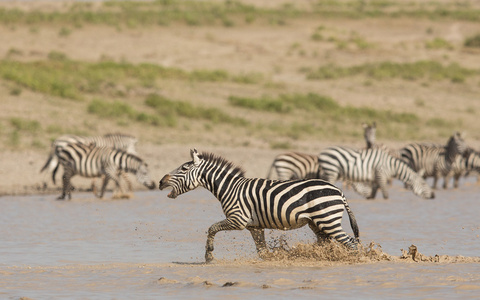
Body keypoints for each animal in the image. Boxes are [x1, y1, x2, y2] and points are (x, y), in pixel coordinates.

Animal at [158, 149, 360, 262]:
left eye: (184, 168)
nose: (160, 182)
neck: (230, 188)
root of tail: (338, 191)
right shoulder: (254, 226)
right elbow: (262, 251)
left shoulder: (238, 219)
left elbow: (212, 228)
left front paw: (209, 255)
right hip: (317, 223)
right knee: (327, 243)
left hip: (328, 220)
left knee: (351, 243)